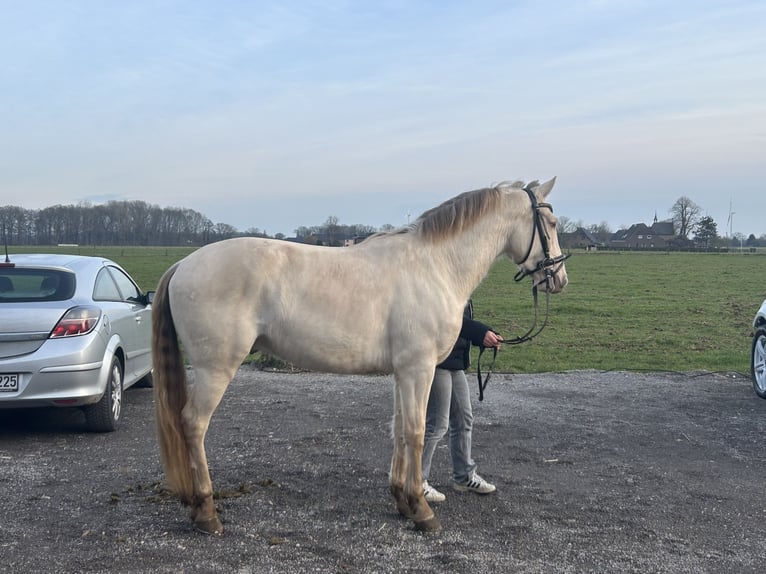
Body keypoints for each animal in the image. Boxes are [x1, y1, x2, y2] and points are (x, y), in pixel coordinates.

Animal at [151, 178, 568, 535]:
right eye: (551, 222)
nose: (559, 279)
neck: (436, 266)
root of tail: (184, 264)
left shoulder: (403, 372)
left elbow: (399, 430)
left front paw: (402, 500)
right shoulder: (419, 369)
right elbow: (416, 432)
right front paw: (422, 510)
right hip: (215, 369)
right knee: (193, 424)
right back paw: (206, 511)